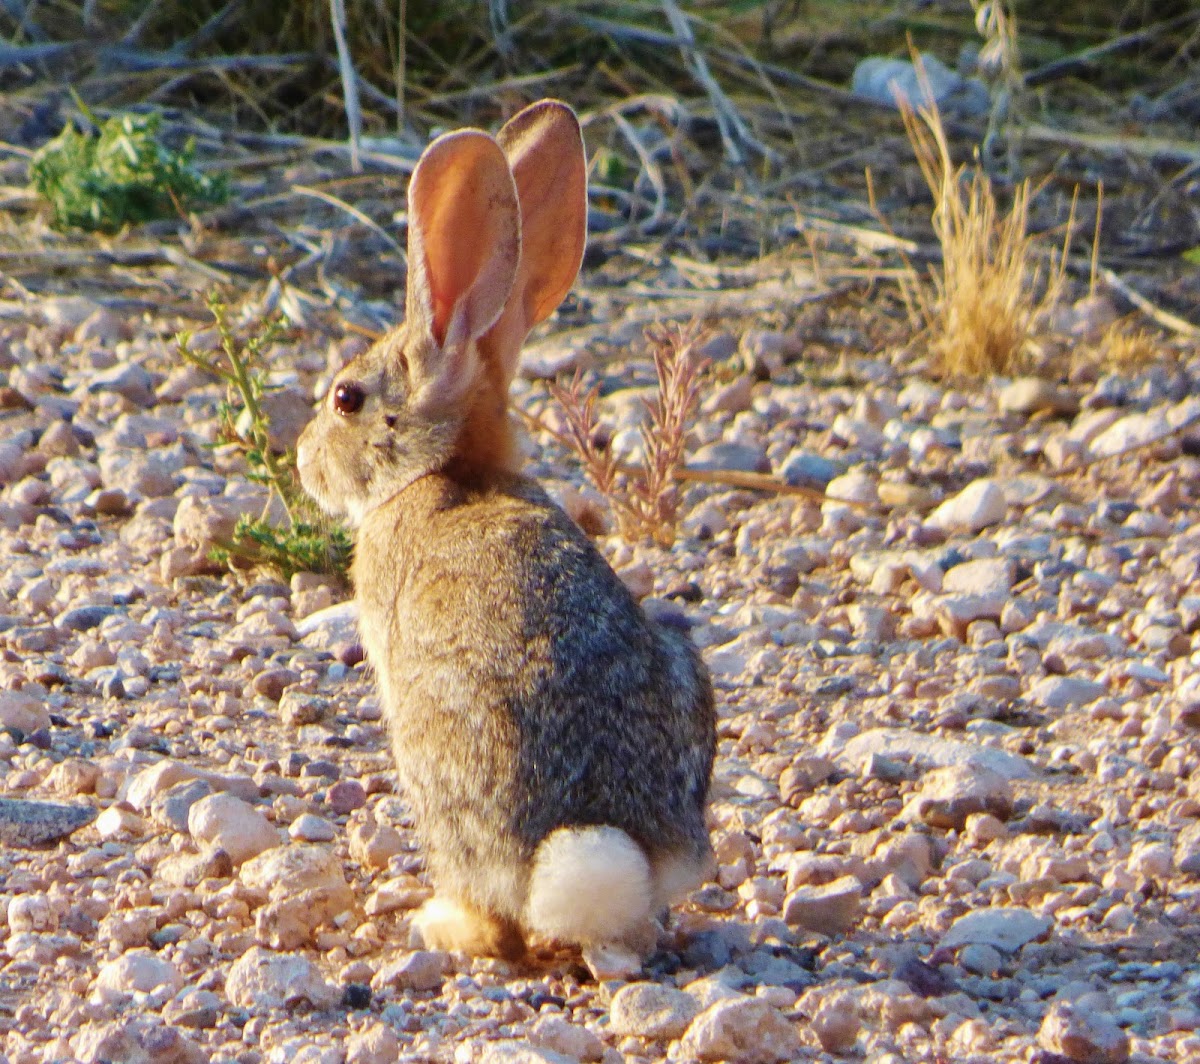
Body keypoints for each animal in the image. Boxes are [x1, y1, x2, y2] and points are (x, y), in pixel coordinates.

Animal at [297, 99, 710, 974]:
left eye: (347, 398)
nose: (304, 460)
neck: (446, 472)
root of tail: (599, 846)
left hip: (434, 756)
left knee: (497, 920)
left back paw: (439, 923)